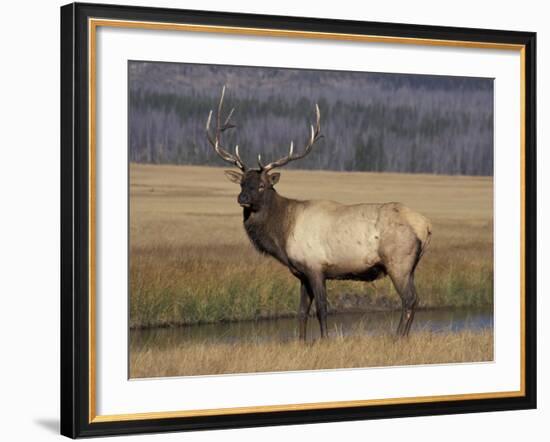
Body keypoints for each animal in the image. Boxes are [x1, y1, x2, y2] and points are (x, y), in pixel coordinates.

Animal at [206, 88, 432, 340]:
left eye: (263, 185)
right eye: (242, 183)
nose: (242, 198)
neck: (282, 234)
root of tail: (425, 226)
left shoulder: (315, 267)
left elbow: (322, 309)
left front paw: (324, 340)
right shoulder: (302, 273)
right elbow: (301, 312)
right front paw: (301, 341)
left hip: (398, 261)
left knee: (409, 299)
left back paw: (398, 337)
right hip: (411, 266)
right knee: (415, 299)